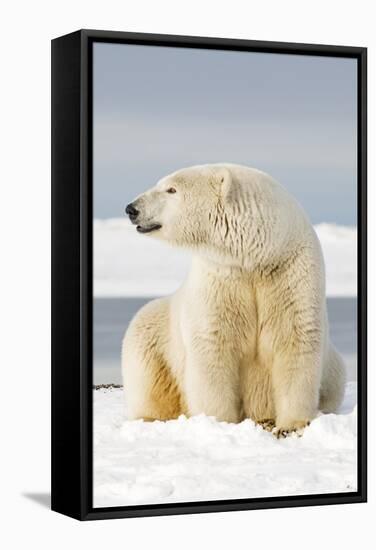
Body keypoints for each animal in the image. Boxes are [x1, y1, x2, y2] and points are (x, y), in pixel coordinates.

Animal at [122, 162, 346, 438]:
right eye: (163, 184)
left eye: (171, 189)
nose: (132, 208)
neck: (257, 257)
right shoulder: (221, 278)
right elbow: (213, 346)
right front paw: (218, 422)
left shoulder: (291, 274)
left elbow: (294, 339)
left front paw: (292, 424)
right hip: (155, 331)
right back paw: (152, 417)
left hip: (334, 368)